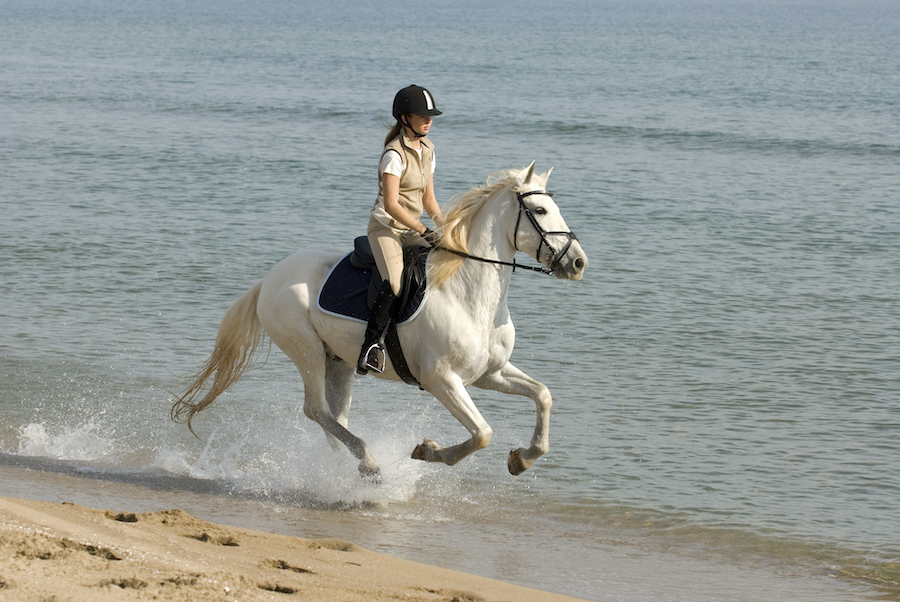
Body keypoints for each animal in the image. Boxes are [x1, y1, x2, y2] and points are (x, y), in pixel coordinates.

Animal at [171, 161, 588, 478]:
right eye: (539, 212)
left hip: (337, 361)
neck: (468, 292)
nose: (578, 262)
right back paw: (369, 462)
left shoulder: (490, 373)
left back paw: (346, 468)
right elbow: (483, 433)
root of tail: (269, 279)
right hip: (305, 349)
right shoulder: (441, 379)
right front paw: (427, 451)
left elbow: (543, 395)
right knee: (316, 410)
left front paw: (523, 458)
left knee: (334, 418)